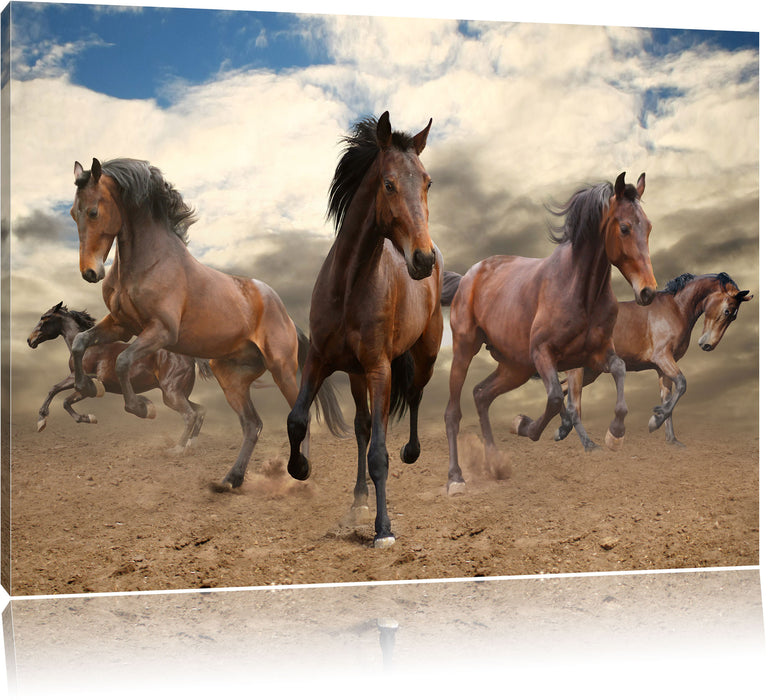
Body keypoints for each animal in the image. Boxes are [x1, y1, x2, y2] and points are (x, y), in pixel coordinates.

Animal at [27, 301, 211, 451]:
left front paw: (41, 420)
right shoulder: (86, 386)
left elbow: (55, 389)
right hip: (177, 394)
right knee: (200, 410)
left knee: (190, 415)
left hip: (171, 394)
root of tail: (189, 357)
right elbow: (65, 401)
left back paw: (177, 449)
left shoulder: (77, 378)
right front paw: (89, 418)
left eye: (44, 318)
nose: (30, 340)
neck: (88, 348)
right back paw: (191, 444)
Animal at [69, 157, 347, 488]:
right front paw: (87, 387)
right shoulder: (121, 326)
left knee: (297, 416)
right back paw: (231, 480)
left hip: (281, 369)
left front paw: (143, 409)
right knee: (252, 424)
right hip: (230, 376)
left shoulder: (160, 332)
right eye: (73, 213)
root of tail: (288, 318)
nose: (90, 273)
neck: (149, 263)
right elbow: (80, 343)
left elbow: (123, 360)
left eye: (93, 211)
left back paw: (299, 472)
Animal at [286, 111, 443, 548]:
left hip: (423, 355)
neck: (349, 286)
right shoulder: (319, 360)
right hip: (355, 375)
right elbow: (297, 419)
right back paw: (358, 499)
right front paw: (300, 468)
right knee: (361, 426)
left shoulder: (380, 369)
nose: (423, 260)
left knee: (415, 396)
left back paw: (411, 452)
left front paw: (383, 529)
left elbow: (379, 454)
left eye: (427, 182)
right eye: (388, 183)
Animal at [443, 173, 657, 494]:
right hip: (465, 349)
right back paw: (456, 478)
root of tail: (468, 277)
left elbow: (619, 369)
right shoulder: (543, 354)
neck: (580, 291)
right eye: (625, 227)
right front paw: (525, 425)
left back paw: (496, 464)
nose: (648, 292)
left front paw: (615, 434)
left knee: (481, 395)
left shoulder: (596, 355)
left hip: (515, 367)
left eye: (649, 227)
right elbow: (556, 397)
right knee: (453, 412)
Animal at [553, 272, 752, 447]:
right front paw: (655, 420)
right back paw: (587, 443)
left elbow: (668, 397)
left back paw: (562, 431)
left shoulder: (662, 368)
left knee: (561, 392)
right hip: (578, 370)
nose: (707, 345)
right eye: (727, 311)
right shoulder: (663, 358)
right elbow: (682, 384)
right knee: (573, 405)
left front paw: (671, 439)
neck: (676, 309)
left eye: (733, 316)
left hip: (590, 372)